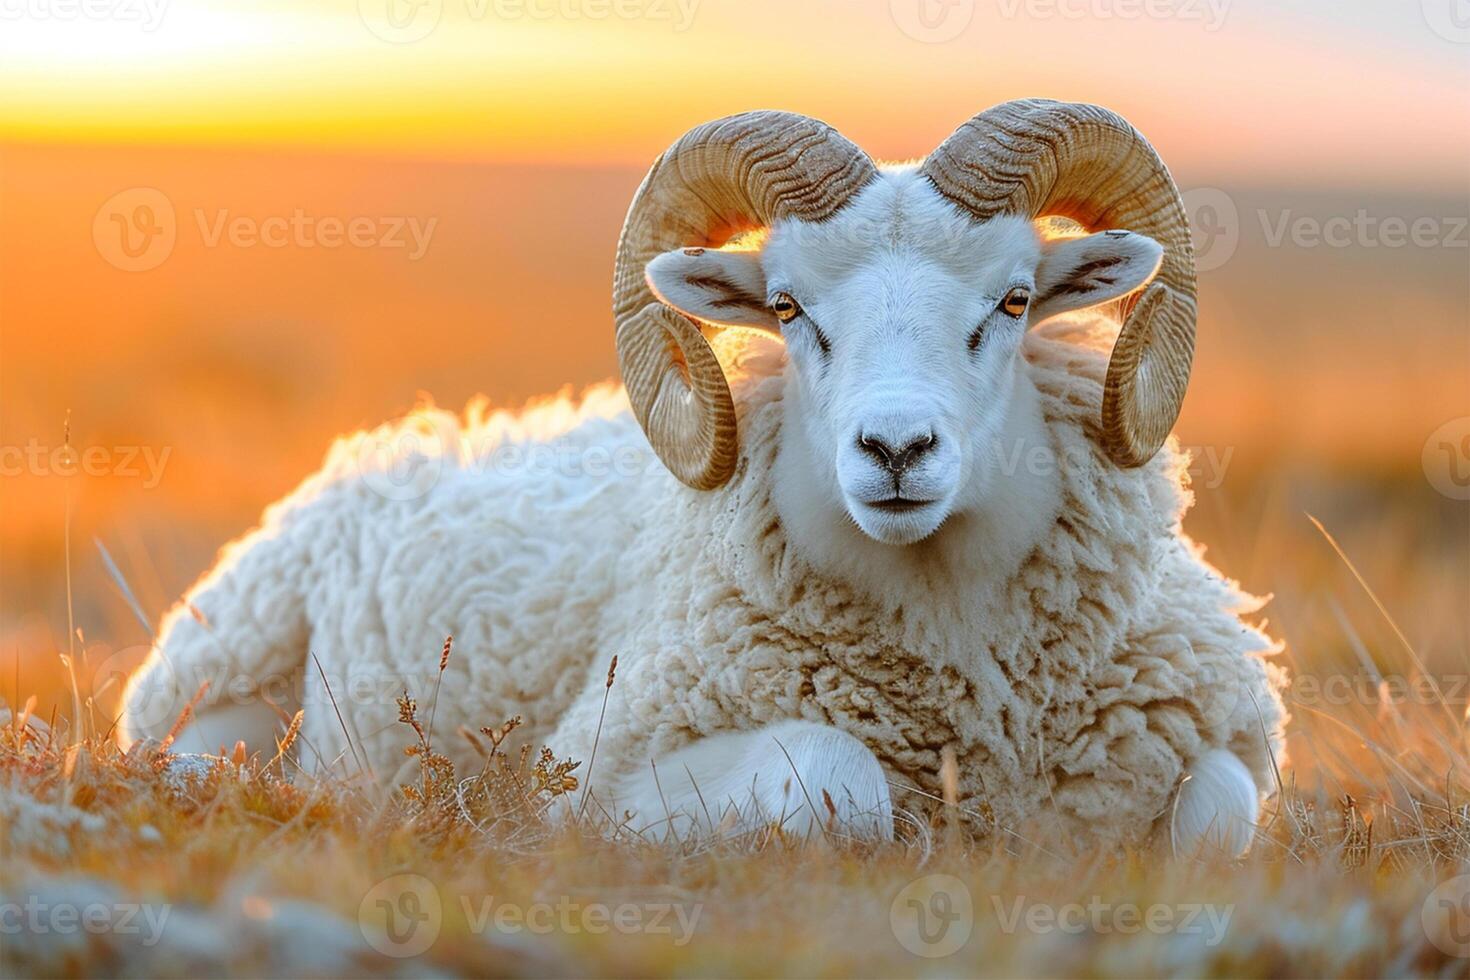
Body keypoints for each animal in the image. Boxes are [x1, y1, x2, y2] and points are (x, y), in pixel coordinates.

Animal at [123, 97, 1287, 852]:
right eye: (787, 308)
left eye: (1013, 302)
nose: (895, 451)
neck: (955, 635)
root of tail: (380, 450)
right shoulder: (600, 771)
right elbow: (841, 783)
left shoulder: (1206, 745)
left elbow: (1215, 819)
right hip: (220, 695)